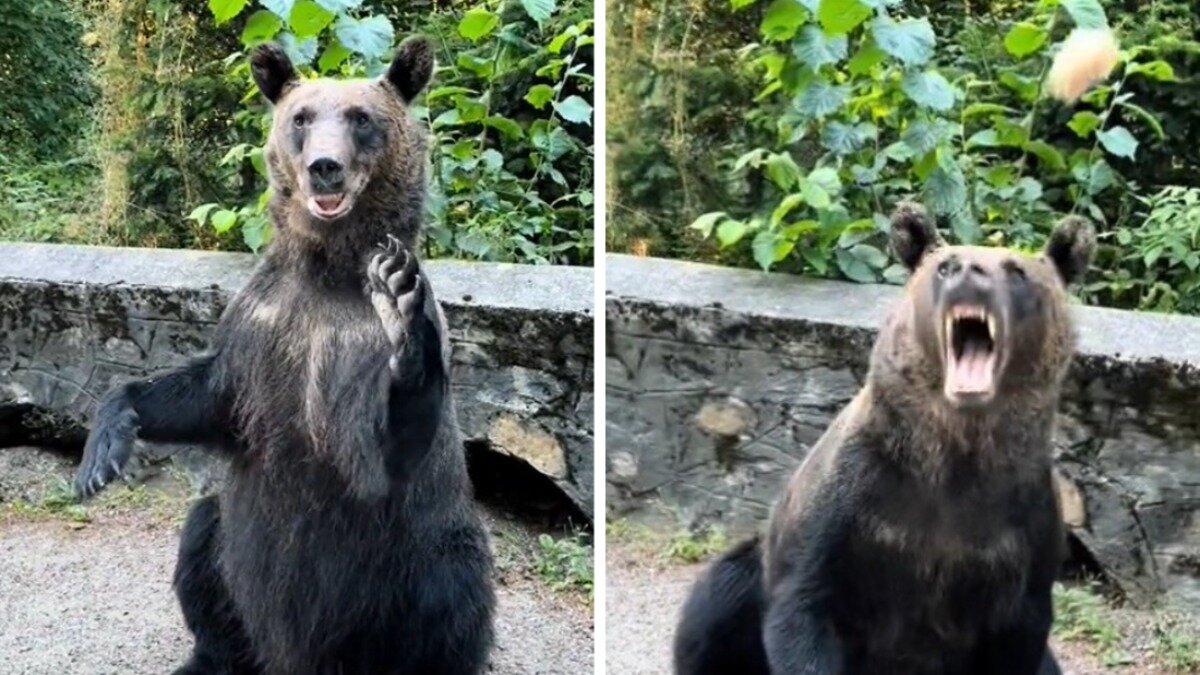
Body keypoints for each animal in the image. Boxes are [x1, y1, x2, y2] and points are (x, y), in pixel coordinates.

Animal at [72, 38, 494, 672]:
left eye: (361, 117)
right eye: (301, 117)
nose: (325, 165)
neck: (327, 271)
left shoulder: (350, 359)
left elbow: (383, 445)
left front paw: (403, 315)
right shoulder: (262, 331)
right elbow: (204, 395)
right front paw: (101, 453)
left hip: (410, 563)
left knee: (451, 591)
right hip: (234, 556)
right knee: (204, 544)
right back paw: (210, 657)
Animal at [676, 200, 1099, 672]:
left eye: (1017, 271)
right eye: (944, 266)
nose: (969, 272)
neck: (955, 449)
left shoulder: (1022, 533)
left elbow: (1017, 634)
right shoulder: (847, 508)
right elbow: (803, 606)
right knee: (716, 599)